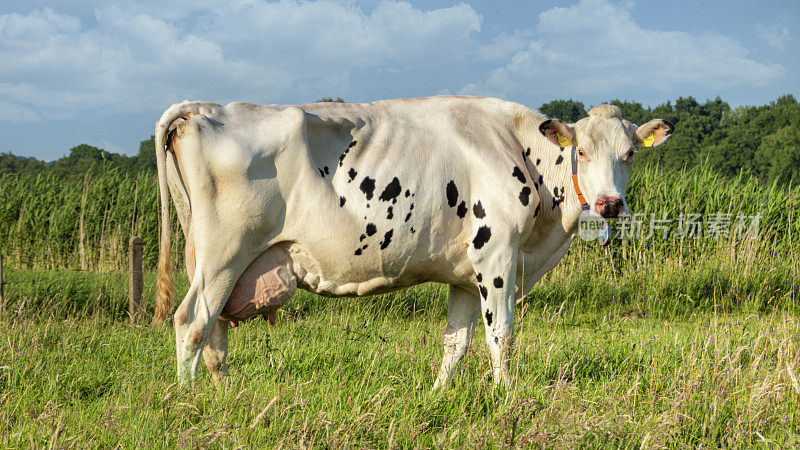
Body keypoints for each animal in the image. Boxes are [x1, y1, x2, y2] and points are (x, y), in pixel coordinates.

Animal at [152, 96, 676, 388]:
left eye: (630, 154)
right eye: (581, 151)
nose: (609, 204)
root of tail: (207, 108)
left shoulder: (466, 274)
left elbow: (457, 341)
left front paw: (439, 393)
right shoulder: (497, 255)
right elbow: (501, 334)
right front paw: (507, 397)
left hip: (221, 260)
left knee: (215, 331)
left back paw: (226, 396)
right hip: (225, 252)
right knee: (192, 321)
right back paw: (189, 400)